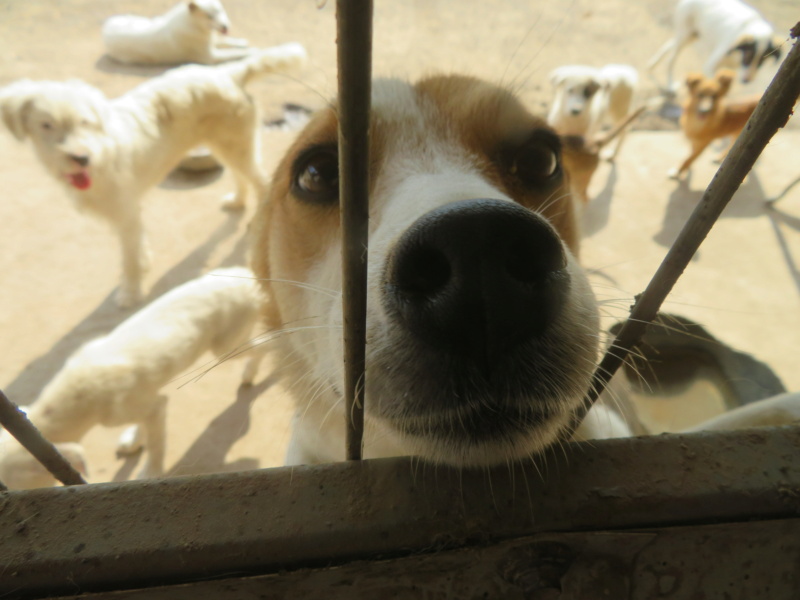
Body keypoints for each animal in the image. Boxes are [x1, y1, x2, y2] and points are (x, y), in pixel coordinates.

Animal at [0, 42, 306, 308]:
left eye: (84, 122)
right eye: (46, 125)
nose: (81, 158)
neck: (101, 146)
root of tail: (227, 73)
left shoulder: (126, 213)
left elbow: (130, 259)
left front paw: (131, 293)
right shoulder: (128, 215)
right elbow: (137, 250)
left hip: (235, 145)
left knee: (260, 181)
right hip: (224, 144)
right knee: (240, 174)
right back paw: (237, 200)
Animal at [0, 264, 266, 490]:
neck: (80, 391)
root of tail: (248, 277)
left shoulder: (154, 407)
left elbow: (156, 445)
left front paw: (151, 472)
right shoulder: (145, 402)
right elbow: (143, 425)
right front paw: (134, 440)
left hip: (225, 347)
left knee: (265, 344)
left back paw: (252, 372)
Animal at [103, 0, 252, 65]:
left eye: (220, 10)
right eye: (209, 16)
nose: (226, 26)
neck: (194, 24)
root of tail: (105, 27)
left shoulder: (211, 39)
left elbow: (226, 40)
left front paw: (242, 42)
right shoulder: (211, 56)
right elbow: (232, 52)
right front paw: (248, 52)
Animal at [648, 0, 780, 91]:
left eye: (762, 61)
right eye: (748, 56)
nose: (746, 81)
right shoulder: (710, 66)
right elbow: (715, 89)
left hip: (691, 35)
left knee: (669, 44)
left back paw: (652, 64)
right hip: (685, 33)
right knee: (671, 58)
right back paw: (669, 84)